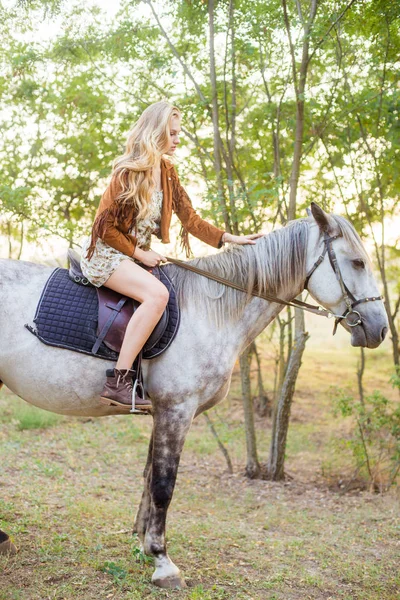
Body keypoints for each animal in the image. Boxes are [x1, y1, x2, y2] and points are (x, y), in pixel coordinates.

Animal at [0, 205, 388, 584]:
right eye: (357, 262)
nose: (380, 329)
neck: (208, 312)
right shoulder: (176, 410)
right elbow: (163, 484)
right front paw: (162, 560)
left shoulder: (162, 411)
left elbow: (149, 477)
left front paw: (144, 545)